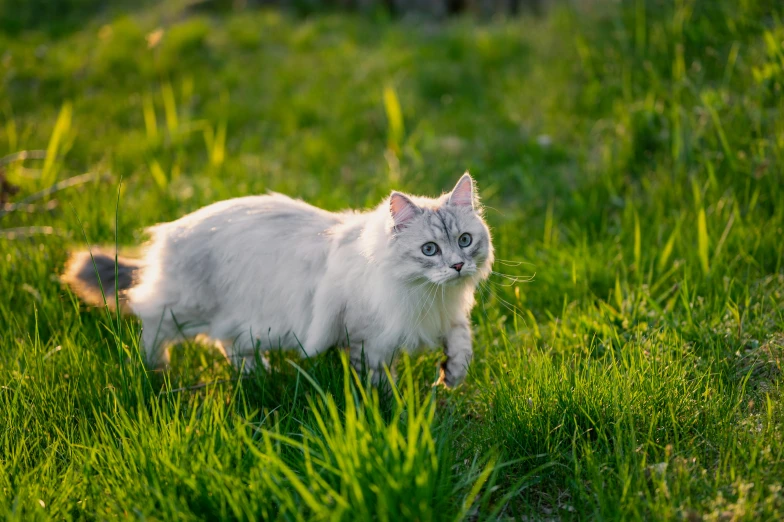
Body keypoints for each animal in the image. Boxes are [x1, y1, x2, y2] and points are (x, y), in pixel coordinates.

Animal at [62, 173, 490, 384]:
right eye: (430, 249)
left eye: (465, 241)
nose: (457, 267)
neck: (428, 295)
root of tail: (171, 229)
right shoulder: (369, 337)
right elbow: (378, 379)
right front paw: (394, 411)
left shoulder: (446, 318)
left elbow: (462, 342)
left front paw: (451, 377)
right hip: (184, 307)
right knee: (150, 321)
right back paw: (155, 370)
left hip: (241, 319)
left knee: (231, 346)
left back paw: (259, 376)